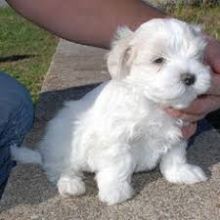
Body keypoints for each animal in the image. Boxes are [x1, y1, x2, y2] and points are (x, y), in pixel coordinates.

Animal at [11, 18, 211, 205]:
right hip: (63, 143)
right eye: (158, 60)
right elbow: (118, 165)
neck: (151, 102)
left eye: (197, 57)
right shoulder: (115, 140)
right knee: (59, 167)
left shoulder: (179, 132)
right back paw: (70, 184)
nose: (190, 78)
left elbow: (175, 156)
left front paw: (181, 173)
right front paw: (115, 191)